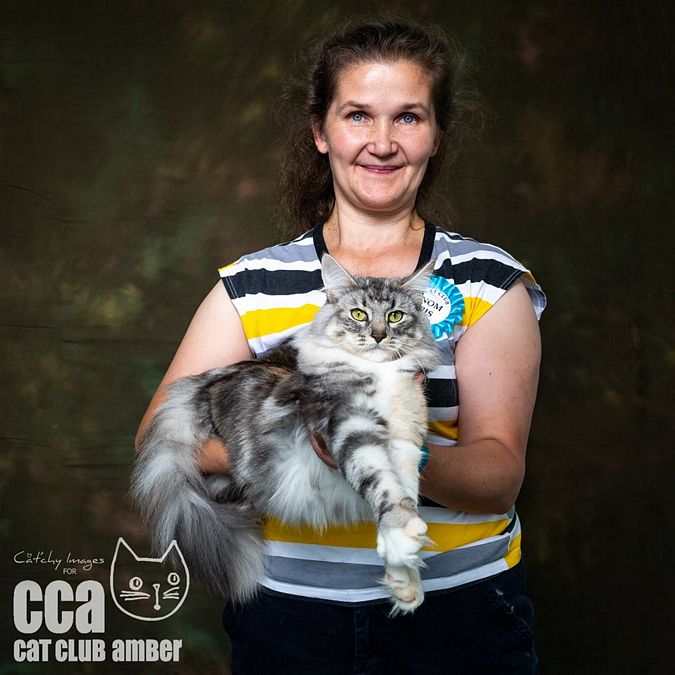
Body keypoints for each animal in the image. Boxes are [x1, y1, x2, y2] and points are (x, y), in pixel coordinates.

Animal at [132, 254, 440, 614]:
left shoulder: (406, 444)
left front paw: (404, 579)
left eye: (395, 316)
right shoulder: (348, 425)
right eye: (358, 314)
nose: (378, 335)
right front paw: (402, 537)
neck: (380, 373)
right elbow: (381, 484)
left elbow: (404, 494)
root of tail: (201, 384)